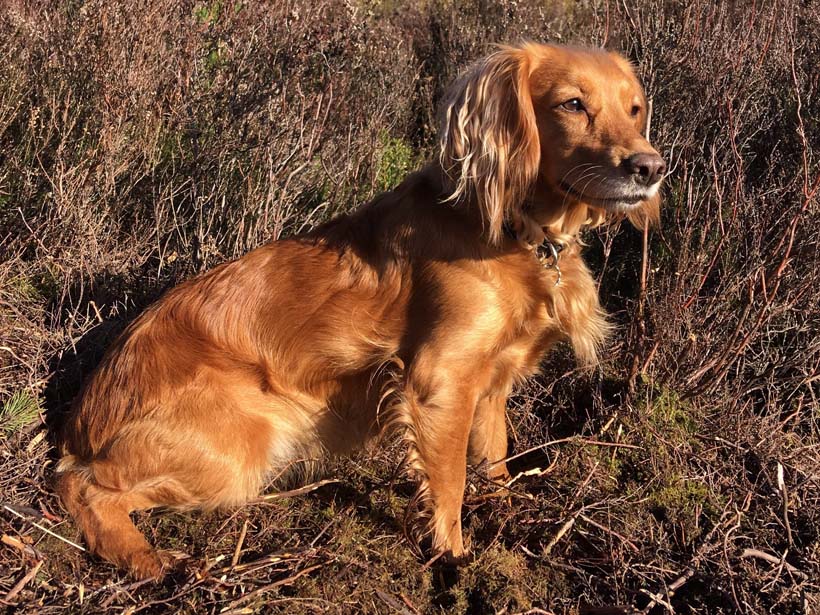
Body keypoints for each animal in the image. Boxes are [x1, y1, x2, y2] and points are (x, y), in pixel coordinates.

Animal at [57, 42, 664, 576]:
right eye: (573, 104)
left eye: (635, 108)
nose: (651, 167)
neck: (518, 231)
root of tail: (80, 420)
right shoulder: (439, 380)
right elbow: (449, 483)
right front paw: (455, 560)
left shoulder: (493, 385)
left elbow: (494, 459)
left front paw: (504, 517)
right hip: (239, 447)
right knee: (83, 487)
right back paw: (143, 557)